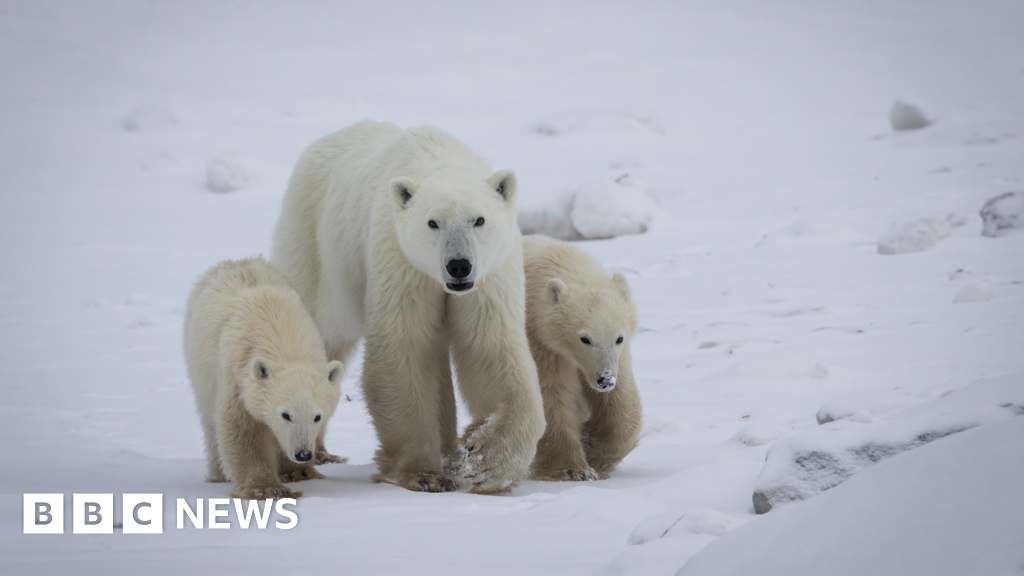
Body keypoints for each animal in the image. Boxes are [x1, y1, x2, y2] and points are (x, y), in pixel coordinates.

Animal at [183, 256, 344, 500]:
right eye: (286, 414)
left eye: (318, 416)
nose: (303, 454)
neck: (283, 339)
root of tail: (236, 261)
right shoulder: (237, 375)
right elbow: (241, 427)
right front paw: (266, 488)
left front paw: (298, 472)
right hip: (200, 368)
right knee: (210, 422)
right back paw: (218, 475)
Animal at [270, 121, 545, 494]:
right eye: (433, 222)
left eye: (479, 220)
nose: (459, 266)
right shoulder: (401, 261)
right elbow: (405, 350)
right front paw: (424, 474)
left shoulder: (490, 275)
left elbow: (489, 348)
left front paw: (486, 462)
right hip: (314, 248)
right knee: (315, 336)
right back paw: (301, 460)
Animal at [522, 235, 642, 481]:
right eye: (585, 339)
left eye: (619, 338)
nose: (605, 380)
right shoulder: (542, 343)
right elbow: (552, 396)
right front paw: (575, 470)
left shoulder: (619, 357)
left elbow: (621, 400)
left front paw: (596, 450)